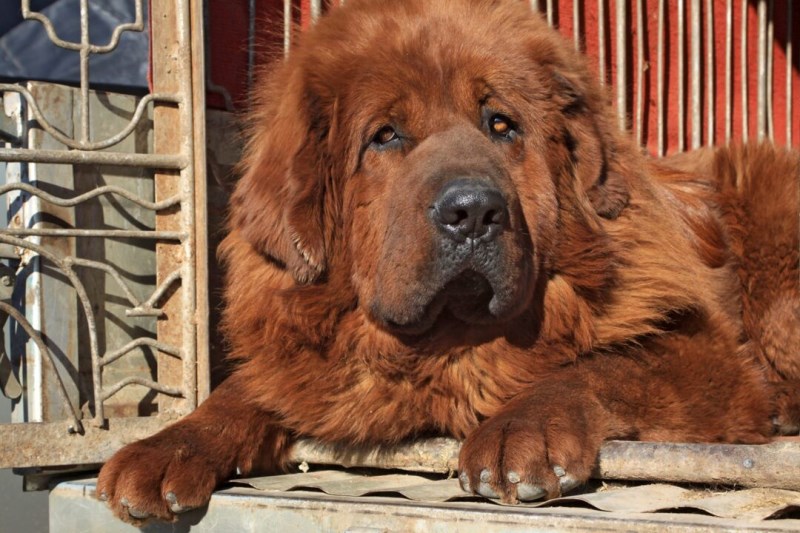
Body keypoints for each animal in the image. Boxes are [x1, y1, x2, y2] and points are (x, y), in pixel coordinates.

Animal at [98, 0, 800, 520]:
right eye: (386, 136)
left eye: (501, 125)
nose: (473, 211)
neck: (442, 346)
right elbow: (242, 391)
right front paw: (168, 445)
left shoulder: (712, 359)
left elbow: (605, 364)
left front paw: (523, 431)